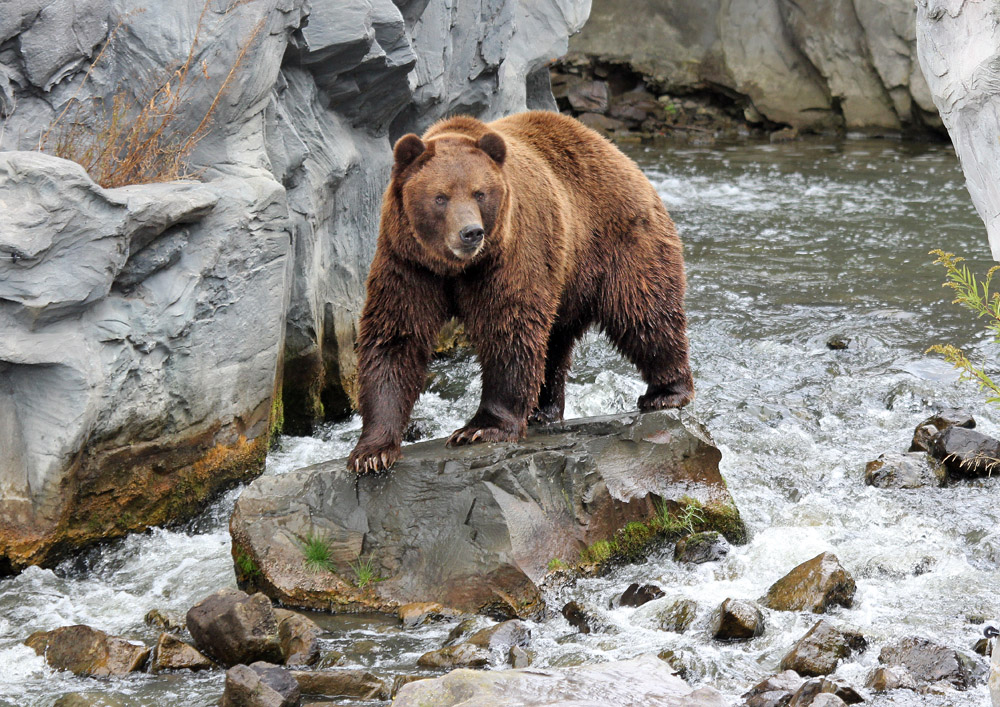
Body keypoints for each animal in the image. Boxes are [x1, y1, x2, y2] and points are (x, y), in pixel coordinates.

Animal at [348, 112, 692, 476]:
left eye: (479, 193)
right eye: (440, 197)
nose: (470, 233)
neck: (456, 268)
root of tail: (620, 155)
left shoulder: (511, 251)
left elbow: (508, 327)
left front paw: (480, 428)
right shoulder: (408, 263)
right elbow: (395, 336)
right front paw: (372, 451)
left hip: (617, 241)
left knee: (643, 312)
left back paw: (665, 392)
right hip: (565, 277)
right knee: (555, 343)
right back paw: (544, 409)